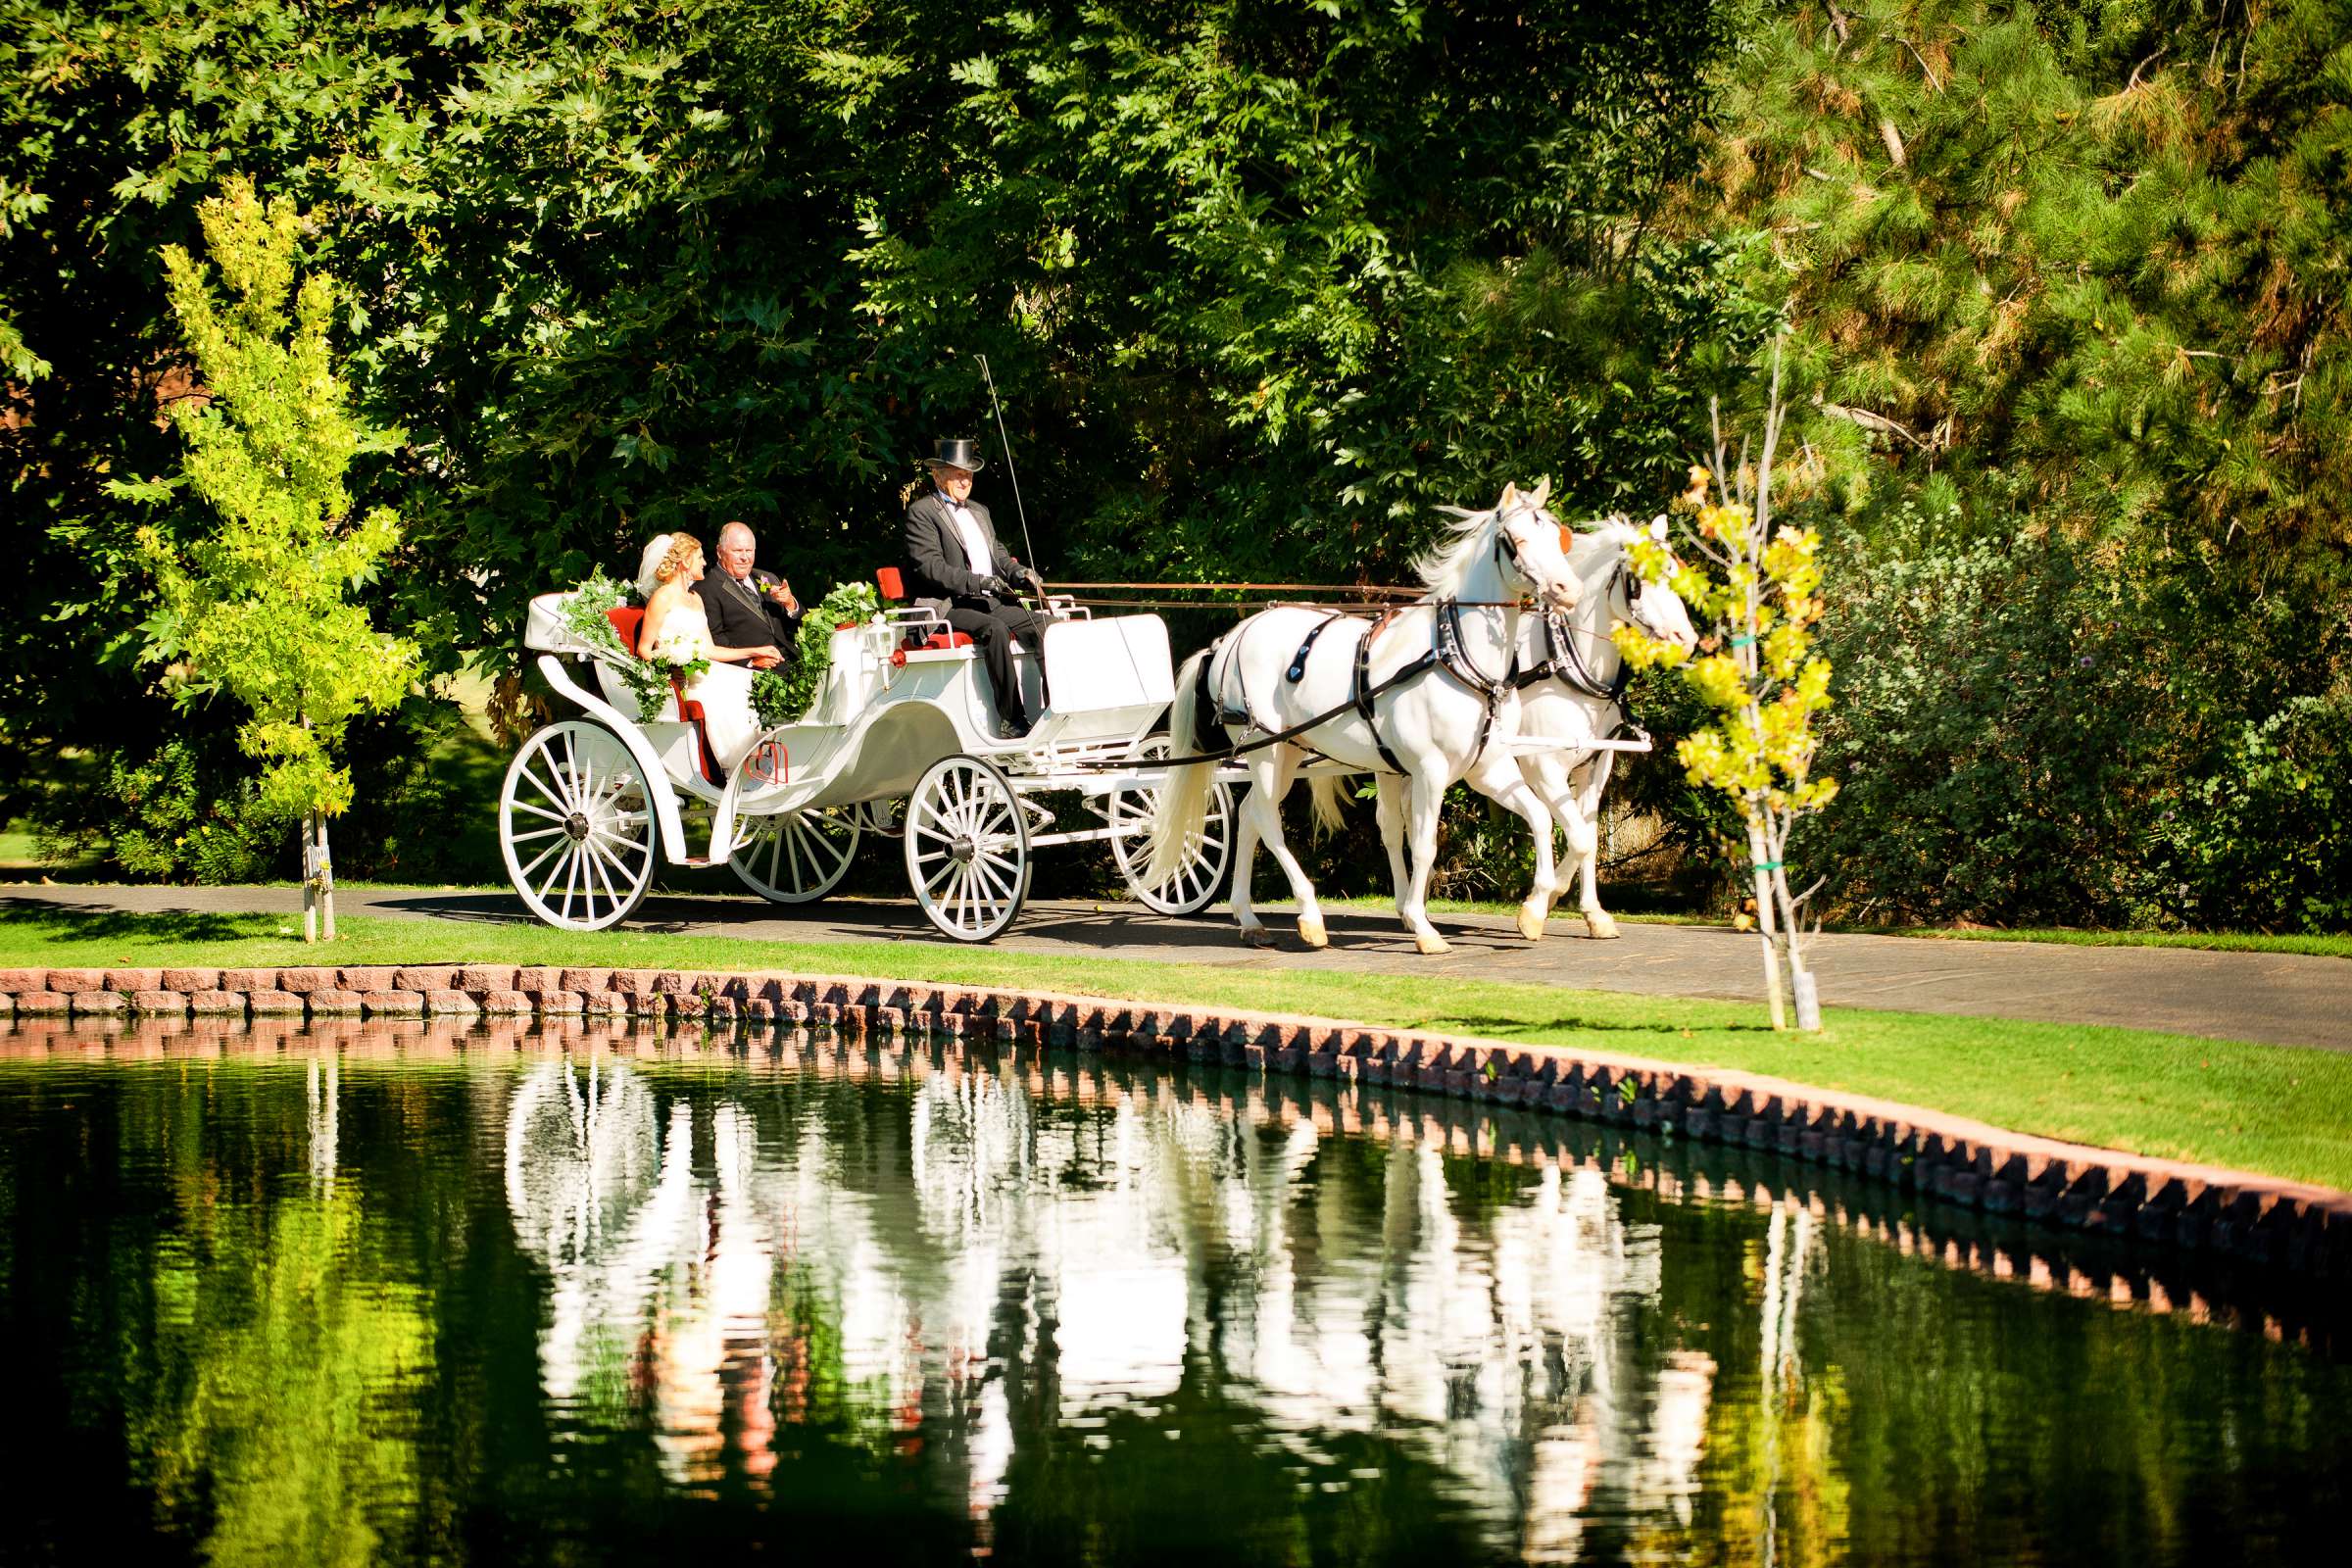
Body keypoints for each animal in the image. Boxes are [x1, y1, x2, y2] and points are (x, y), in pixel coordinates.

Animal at [1138, 484, 1580, 958]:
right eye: (1517, 539)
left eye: (1559, 537)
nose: (1568, 589)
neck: (1456, 655)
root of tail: (1231, 638)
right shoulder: (1429, 771)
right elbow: (1424, 846)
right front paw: (1423, 927)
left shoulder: (1487, 767)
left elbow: (1540, 817)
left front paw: (1534, 910)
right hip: (1267, 749)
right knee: (1267, 820)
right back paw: (1310, 916)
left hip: (1287, 751)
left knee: (1252, 814)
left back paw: (1250, 919)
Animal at [1373, 521, 1693, 945]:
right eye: (1639, 580)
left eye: (1676, 572)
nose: (1685, 638)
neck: (1565, 663)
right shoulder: (1544, 767)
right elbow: (1578, 837)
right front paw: (1539, 905)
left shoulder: (1595, 768)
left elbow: (1588, 837)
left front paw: (1591, 912)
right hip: (1387, 763)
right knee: (1392, 827)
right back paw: (1404, 906)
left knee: (1414, 817)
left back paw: (1419, 901)